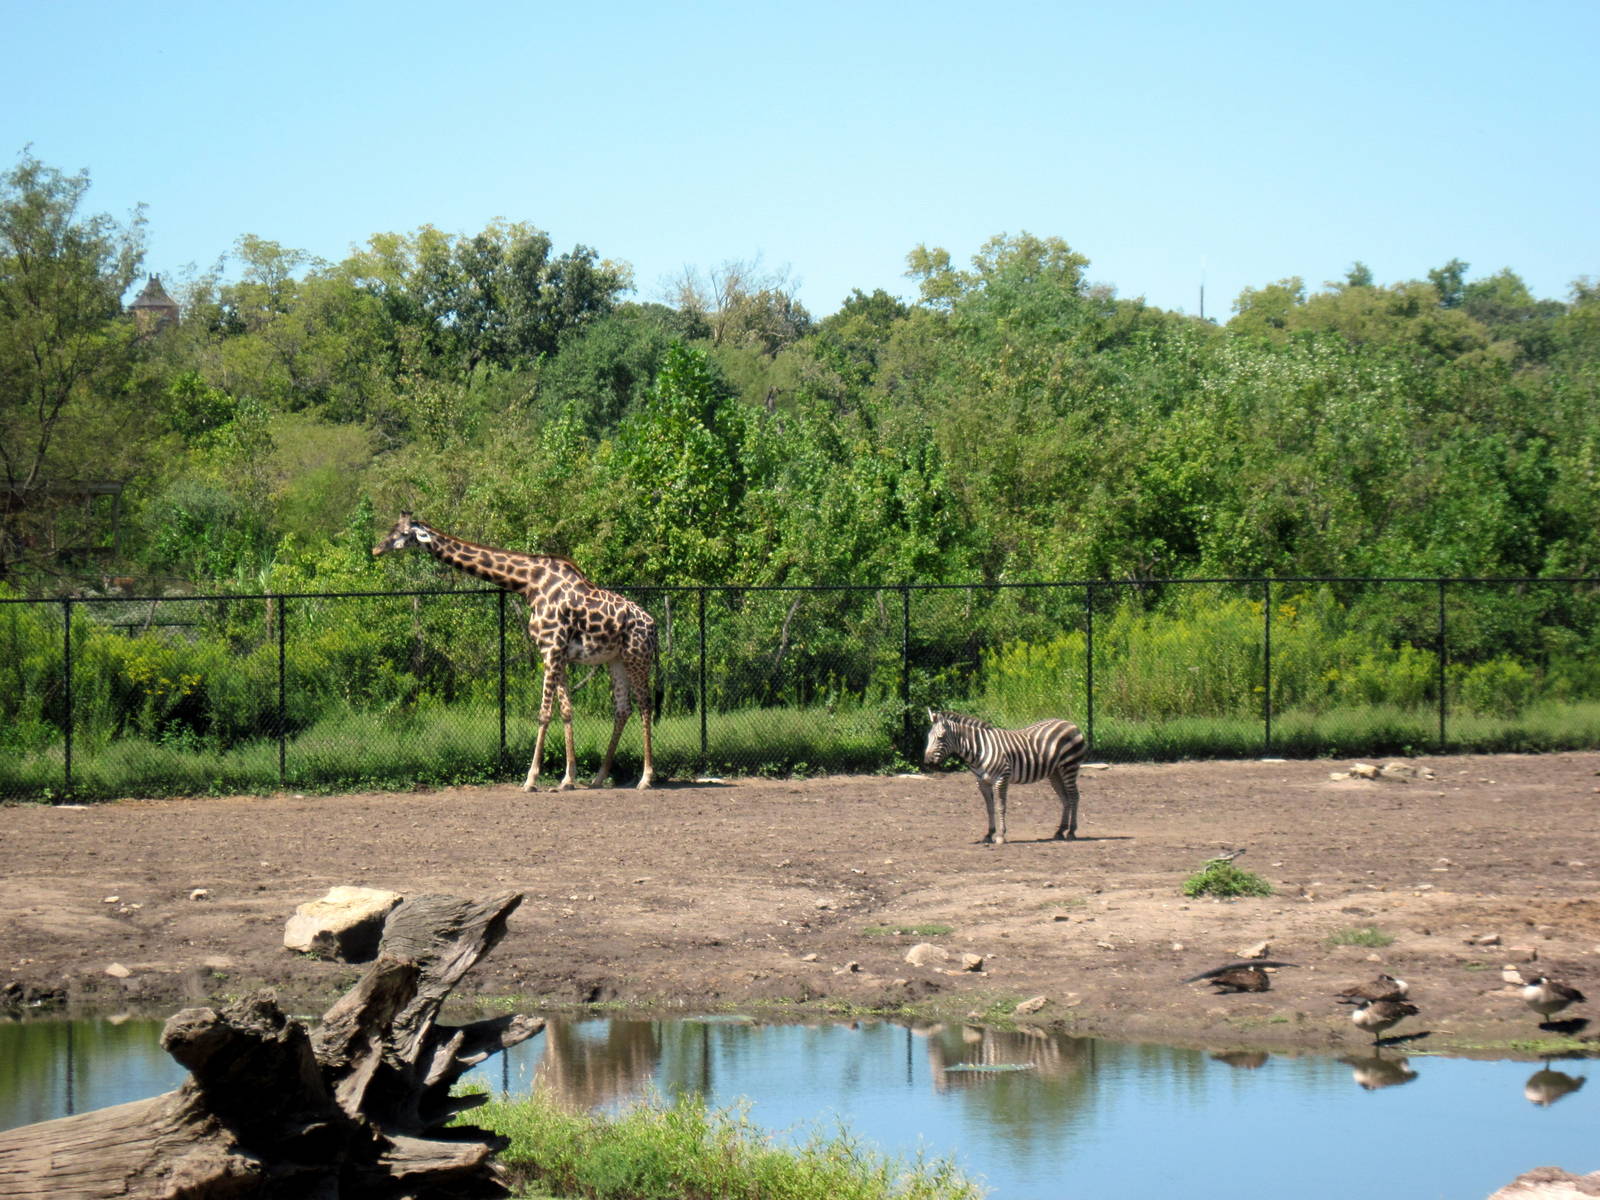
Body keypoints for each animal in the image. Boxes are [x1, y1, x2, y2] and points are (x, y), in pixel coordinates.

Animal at [373, 512, 655, 790]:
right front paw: (567, 779)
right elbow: (566, 711)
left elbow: (544, 713)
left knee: (645, 706)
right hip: (615, 660)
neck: (528, 584)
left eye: (403, 533)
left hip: (637, 657)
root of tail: (653, 626)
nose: (377, 548)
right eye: (392, 527)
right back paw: (599, 778)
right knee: (622, 710)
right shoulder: (557, 654)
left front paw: (530, 779)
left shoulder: (551, 649)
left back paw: (645, 778)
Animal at [922, 709, 1088, 845]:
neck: (979, 750)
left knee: (1074, 796)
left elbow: (1000, 806)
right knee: (1065, 798)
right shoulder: (982, 782)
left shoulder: (1001, 778)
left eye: (941, 737)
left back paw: (1071, 831)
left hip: (1069, 767)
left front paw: (1001, 835)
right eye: (928, 737)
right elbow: (989, 808)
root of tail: (1069, 723)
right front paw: (989, 834)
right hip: (1055, 772)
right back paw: (1060, 831)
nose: (927, 762)